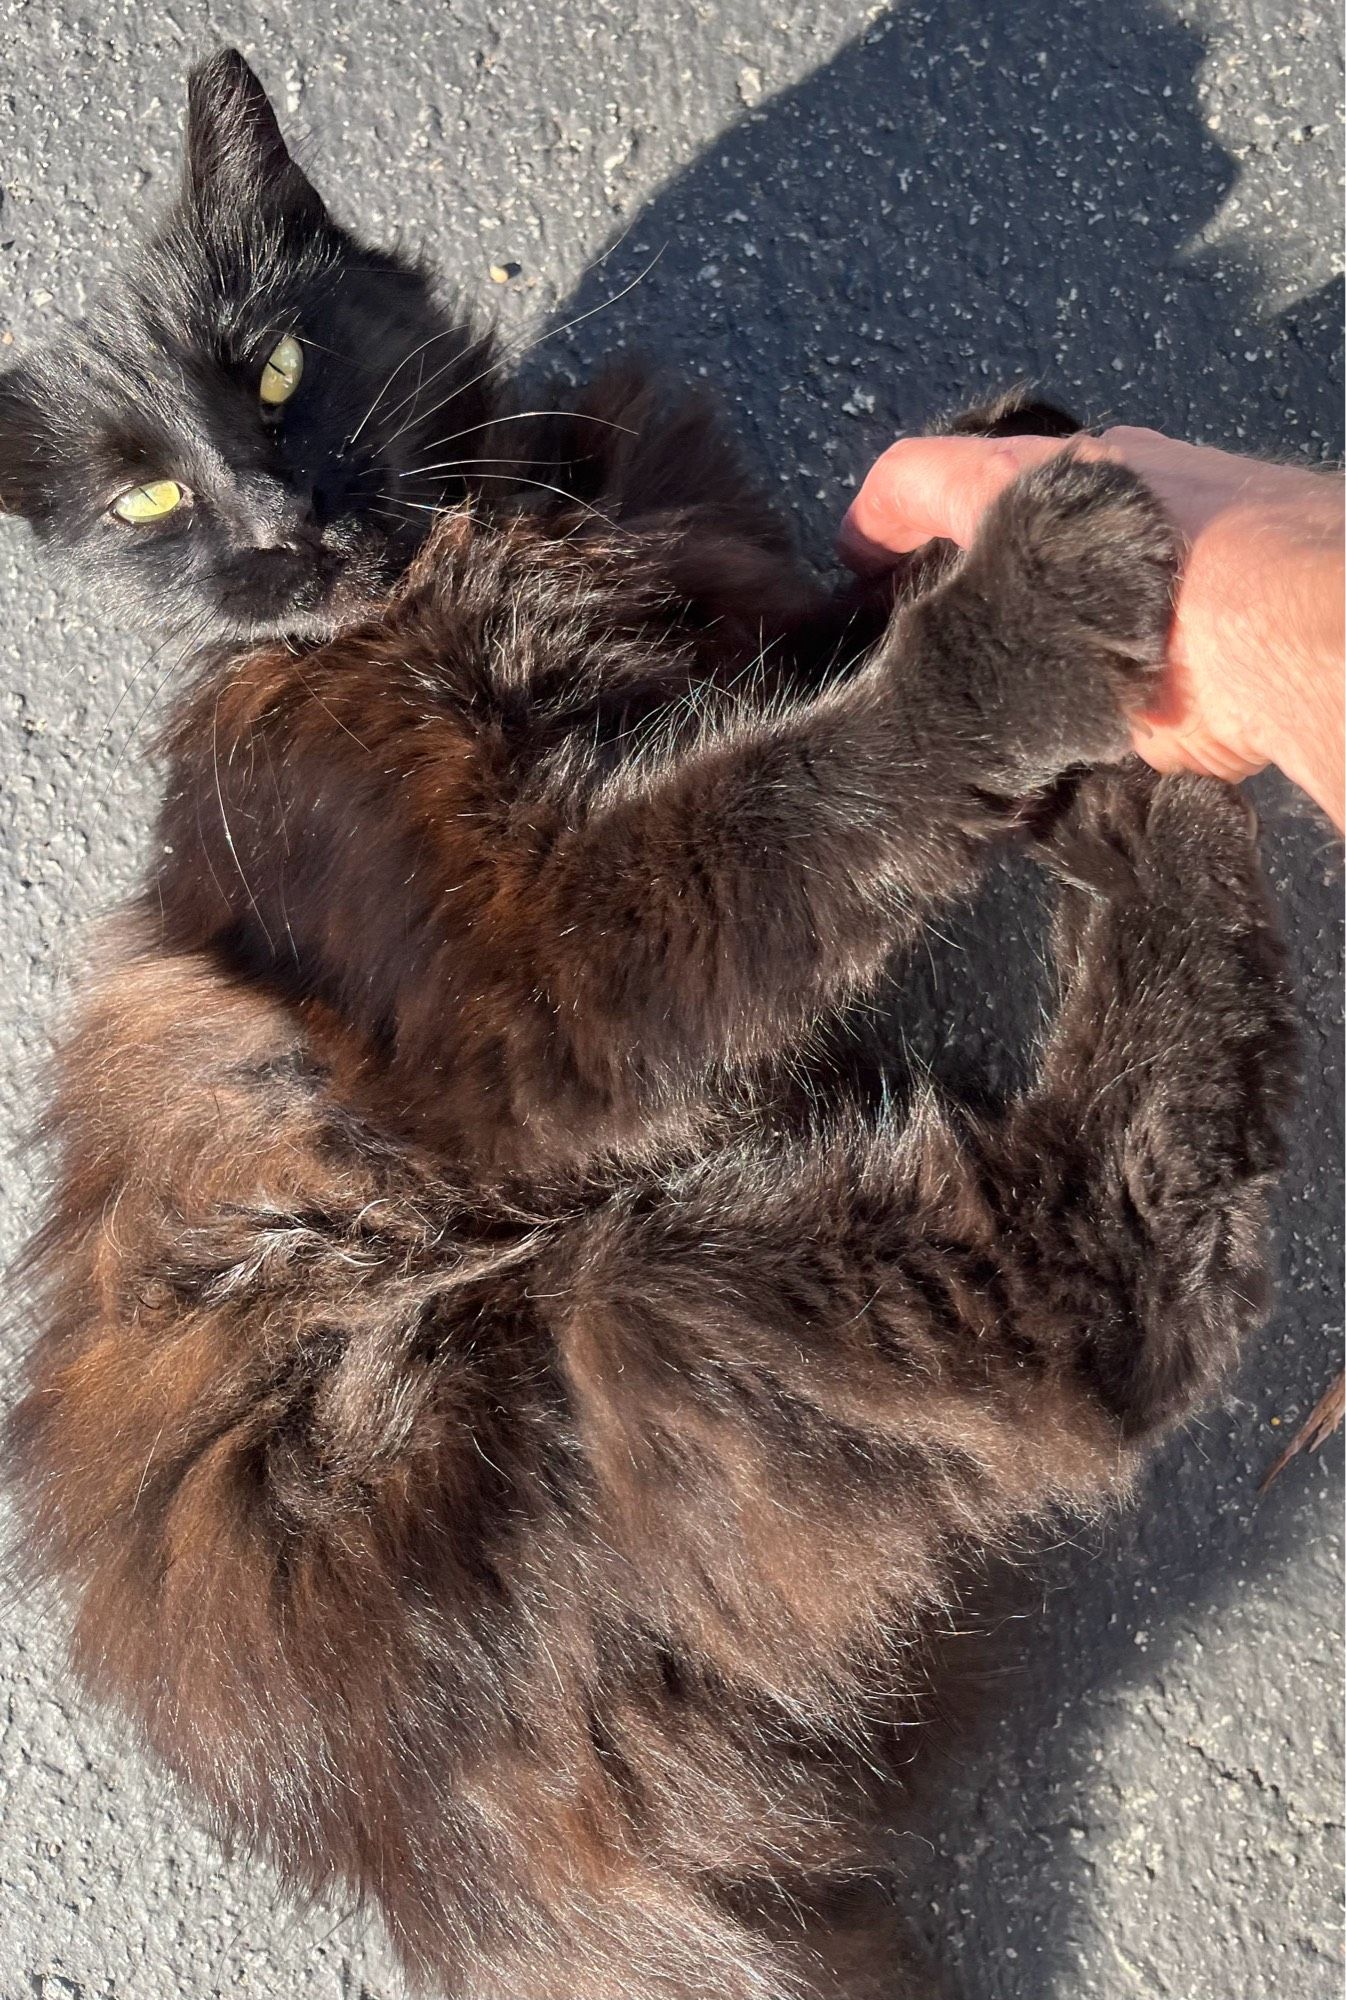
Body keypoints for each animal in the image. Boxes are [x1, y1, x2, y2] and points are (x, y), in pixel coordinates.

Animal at [5, 43, 1296, 2000]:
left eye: (277, 368)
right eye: (146, 503)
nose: (275, 514)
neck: (491, 545)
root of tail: (432, 1857)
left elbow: (775, 669)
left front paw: (973, 492)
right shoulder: (531, 964)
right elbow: (786, 801)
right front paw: (1022, 602)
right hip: (647, 1306)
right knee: (1121, 1282)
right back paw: (1159, 815)